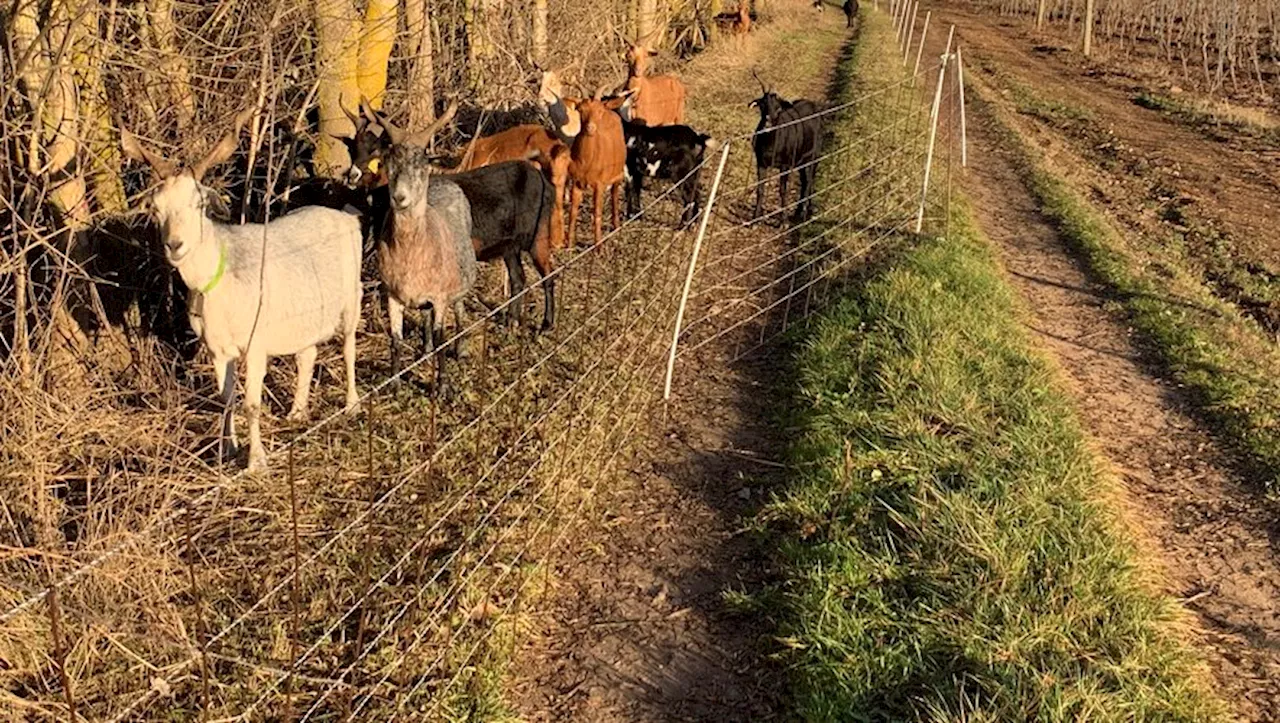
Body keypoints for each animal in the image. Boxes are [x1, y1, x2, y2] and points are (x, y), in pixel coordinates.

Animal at [121, 106, 363, 468]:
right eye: (156, 208)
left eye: (198, 204)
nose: (174, 245)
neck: (219, 283)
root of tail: (348, 218)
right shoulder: (216, 347)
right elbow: (226, 400)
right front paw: (228, 450)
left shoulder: (256, 341)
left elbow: (251, 403)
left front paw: (256, 461)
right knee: (307, 353)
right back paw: (297, 411)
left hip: (352, 296)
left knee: (348, 346)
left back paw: (352, 404)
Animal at [373, 101, 478, 391]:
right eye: (389, 163)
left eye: (421, 165)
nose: (400, 197)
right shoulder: (392, 294)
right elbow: (396, 339)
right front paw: (394, 384)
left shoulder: (440, 296)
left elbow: (443, 337)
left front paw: (442, 387)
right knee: (425, 318)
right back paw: (424, 350)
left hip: (458, 283)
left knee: (459, 310)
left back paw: (461, 349)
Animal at [747, 72, 824, 222]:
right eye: (762, 105)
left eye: (778, 108)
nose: (767, 124)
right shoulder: (761, 162)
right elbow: (760, 189)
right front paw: (755, 218)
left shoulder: (785, 164)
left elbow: (783, 190)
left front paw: (783, 221)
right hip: (801, 160)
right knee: (805, 181)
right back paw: (798, 212)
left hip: (813, 156)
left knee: (810, 181)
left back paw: (807, 212)